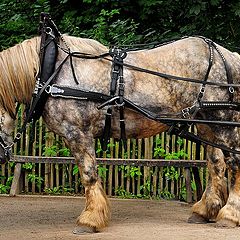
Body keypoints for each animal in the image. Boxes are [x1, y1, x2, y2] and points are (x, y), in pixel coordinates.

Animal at [0, 14, 240, 232]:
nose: (2, 157)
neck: (52, 72)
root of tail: (230, 56)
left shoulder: (78, 133)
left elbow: (88, 175)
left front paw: (90, 220)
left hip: (223, 120)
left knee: (234, 162)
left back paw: (230, 215)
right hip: (206, 123)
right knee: (216, 164)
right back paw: (204, 210)